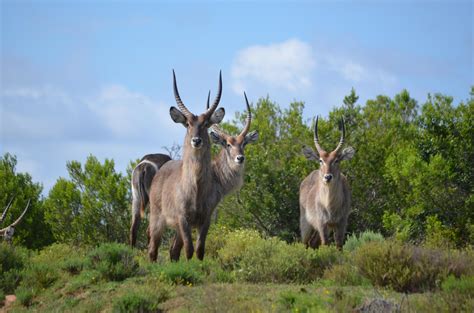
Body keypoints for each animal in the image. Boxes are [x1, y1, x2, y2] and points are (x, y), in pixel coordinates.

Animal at [146, 70, 224, 260]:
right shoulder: (183, 219)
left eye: (205, 124)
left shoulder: (206, 219)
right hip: (157, 220)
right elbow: (189, 249)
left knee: (173, 251)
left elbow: (200, 249)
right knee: (152, 249)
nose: (196, 140)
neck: (196, 187)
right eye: (188, 124)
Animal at [302, 116, 354, 249]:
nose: (328, 177)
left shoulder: (341, 223)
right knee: (304, 242)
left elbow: (339, 245)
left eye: (336, 160)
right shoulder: (322, 224)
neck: (330, 205)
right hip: (306, 224)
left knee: (313, 242)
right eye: (321, 160)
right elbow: (325, 244)